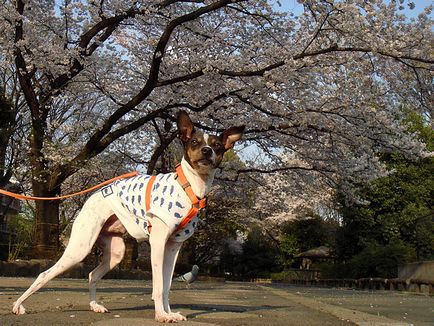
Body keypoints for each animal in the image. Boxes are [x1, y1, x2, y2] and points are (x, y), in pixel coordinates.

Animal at [11, 111, 246, 324]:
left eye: (217, 145)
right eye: (195, 142)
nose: (207, 151)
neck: (188, 186)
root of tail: (91, 197)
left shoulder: (173, 246)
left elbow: (167, 285)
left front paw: (170, 313)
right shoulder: (158, 242)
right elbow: (159, 285)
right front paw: (161, 315)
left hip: (116, 253)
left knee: (92, 275)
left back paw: (95, 306)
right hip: (80, 248)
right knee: (44, 275)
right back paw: (18, 305)